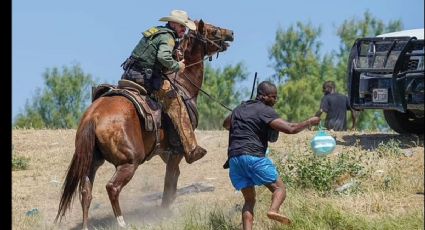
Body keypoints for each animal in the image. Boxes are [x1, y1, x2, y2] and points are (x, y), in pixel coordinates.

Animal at [54, 20, 234, 230]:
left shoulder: (165, 151)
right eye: (213, 30)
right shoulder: (177, 151)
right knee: (112, 187)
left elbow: (173, 179)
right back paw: (122, 222)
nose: (231, 33)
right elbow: (169, 181)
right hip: (129, 162)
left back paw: (86, 225)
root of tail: (93, 117)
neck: (182, 84)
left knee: (85, 192)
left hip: (92, 161)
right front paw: (164, 213)